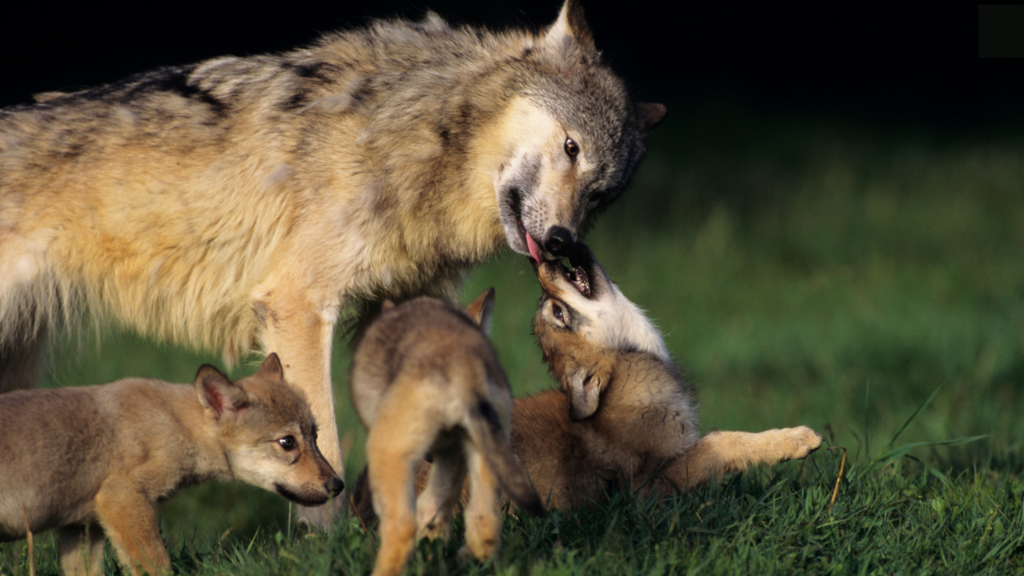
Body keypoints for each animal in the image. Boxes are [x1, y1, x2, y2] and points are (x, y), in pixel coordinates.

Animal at [0, 0, 663, 522]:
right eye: (571, 146)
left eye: (601, 193)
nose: (562, 242)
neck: (410, 134)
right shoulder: (298, 308)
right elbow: (322, 440)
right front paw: (333, 541)